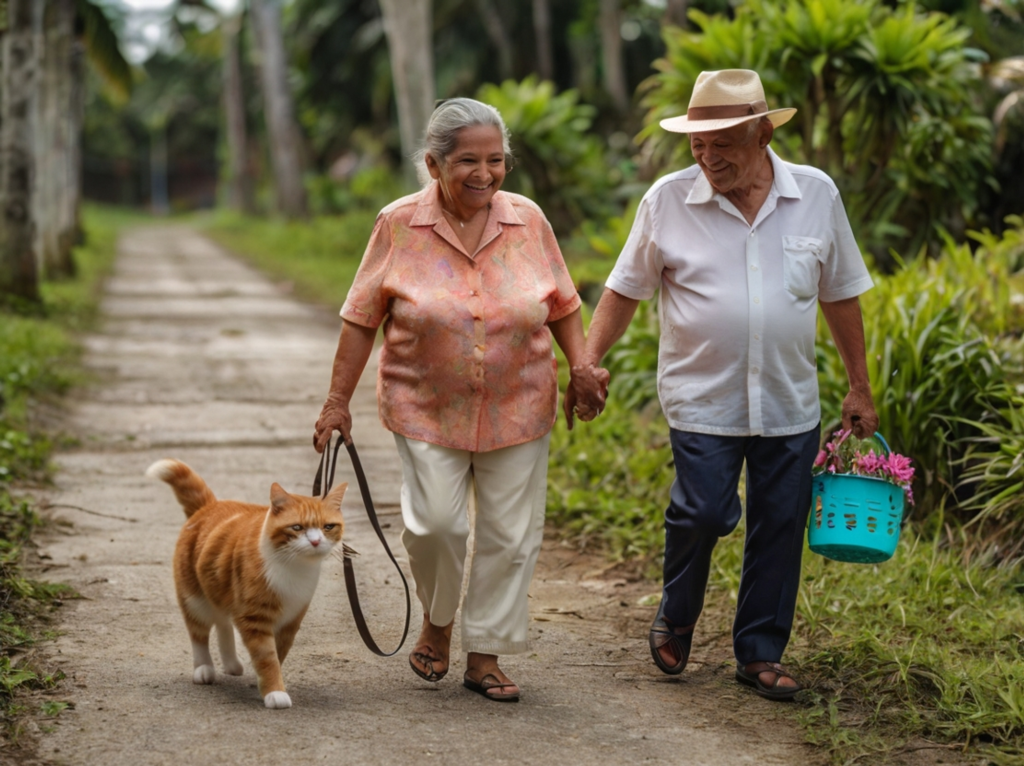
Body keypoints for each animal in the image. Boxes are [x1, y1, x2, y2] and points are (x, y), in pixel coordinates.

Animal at [147, 458, 348, 708]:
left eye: (328, 527)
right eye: (297, 527)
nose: (315, 541)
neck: (294, 568)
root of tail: (209, 506)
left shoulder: (291, 620)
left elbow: (278, 654)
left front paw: (266, 683)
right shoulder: (255, 619)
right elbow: (267, 657)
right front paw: (275, 692)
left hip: (220, 592)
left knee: (223, 623)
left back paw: (231, 664)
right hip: (194, 599)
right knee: (199, 633)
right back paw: (203, 668)